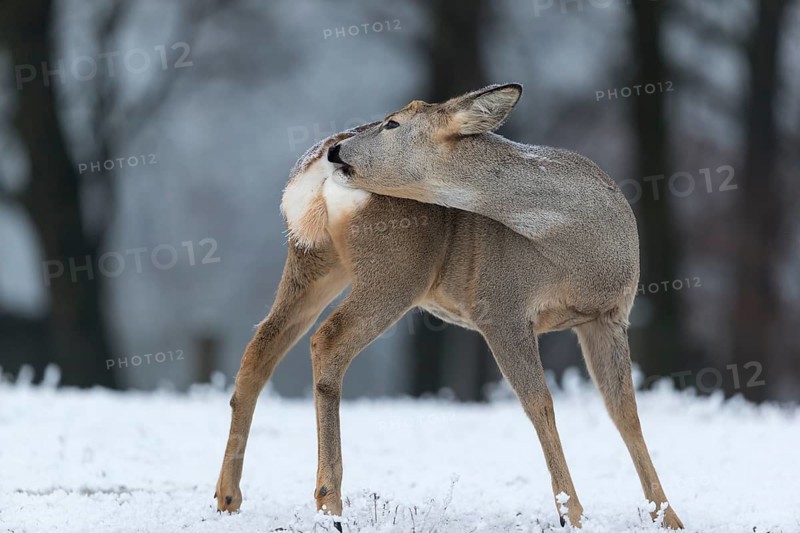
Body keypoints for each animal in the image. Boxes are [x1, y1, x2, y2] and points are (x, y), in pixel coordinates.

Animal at [214, 84, 684, 530]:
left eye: (393, 123)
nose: (338, 151)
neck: (577, 246)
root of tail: (308, 169)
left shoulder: (609, 317)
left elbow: (626, 413)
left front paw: (668, 517)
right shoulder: (501, 306)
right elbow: (540, 403)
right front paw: (573, 514)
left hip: (315, 260)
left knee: (261, 346)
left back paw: (227, 498)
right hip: (396, 270)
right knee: (327, 340)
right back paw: (329, 502)